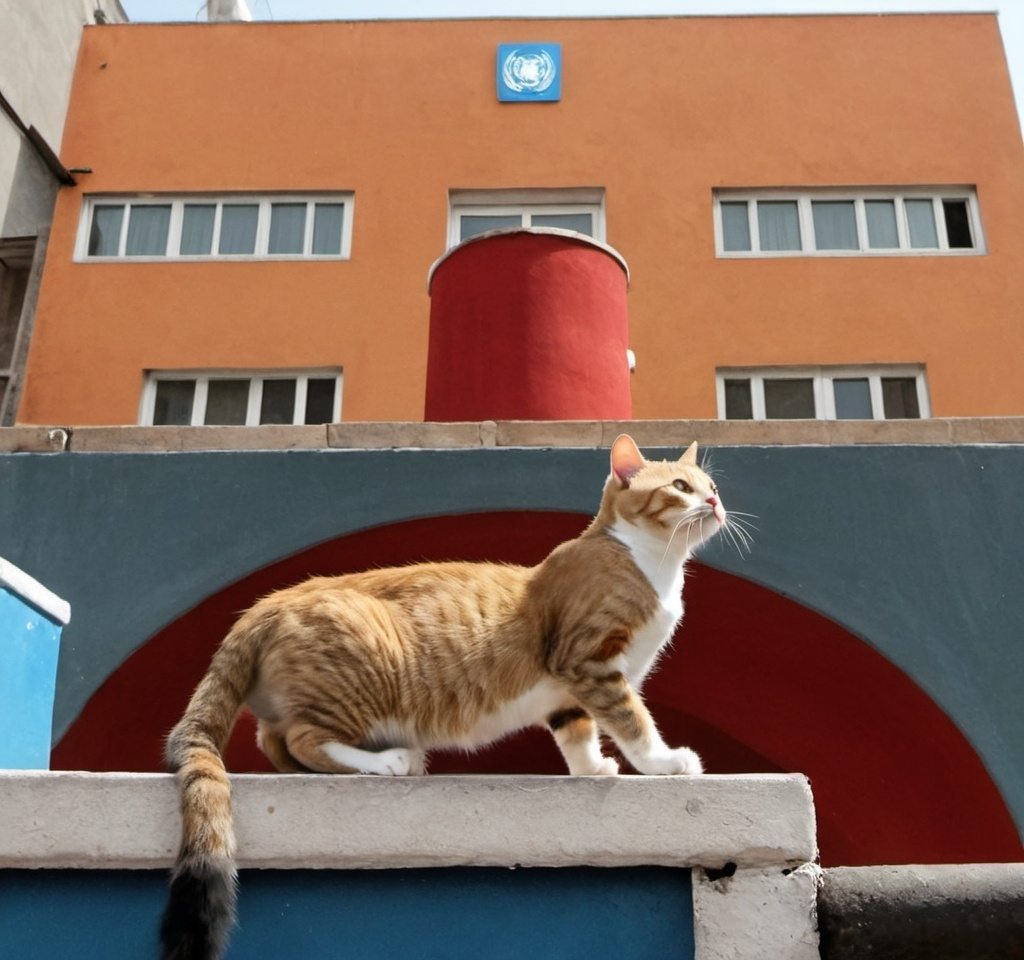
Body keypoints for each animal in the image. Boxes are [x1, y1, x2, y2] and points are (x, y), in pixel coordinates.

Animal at [157, 435, 729, 957]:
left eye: (712, 486)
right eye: (681, 487)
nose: (715, 503)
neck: (652, 563)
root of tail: (266, 603)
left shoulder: (569, 691)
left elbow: (578, 733)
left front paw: (591, 769)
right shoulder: (591, 662)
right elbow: (633, 722)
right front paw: (665, 762)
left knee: (274, 743)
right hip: (361, 674)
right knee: (301, 738)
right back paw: (388, 762)